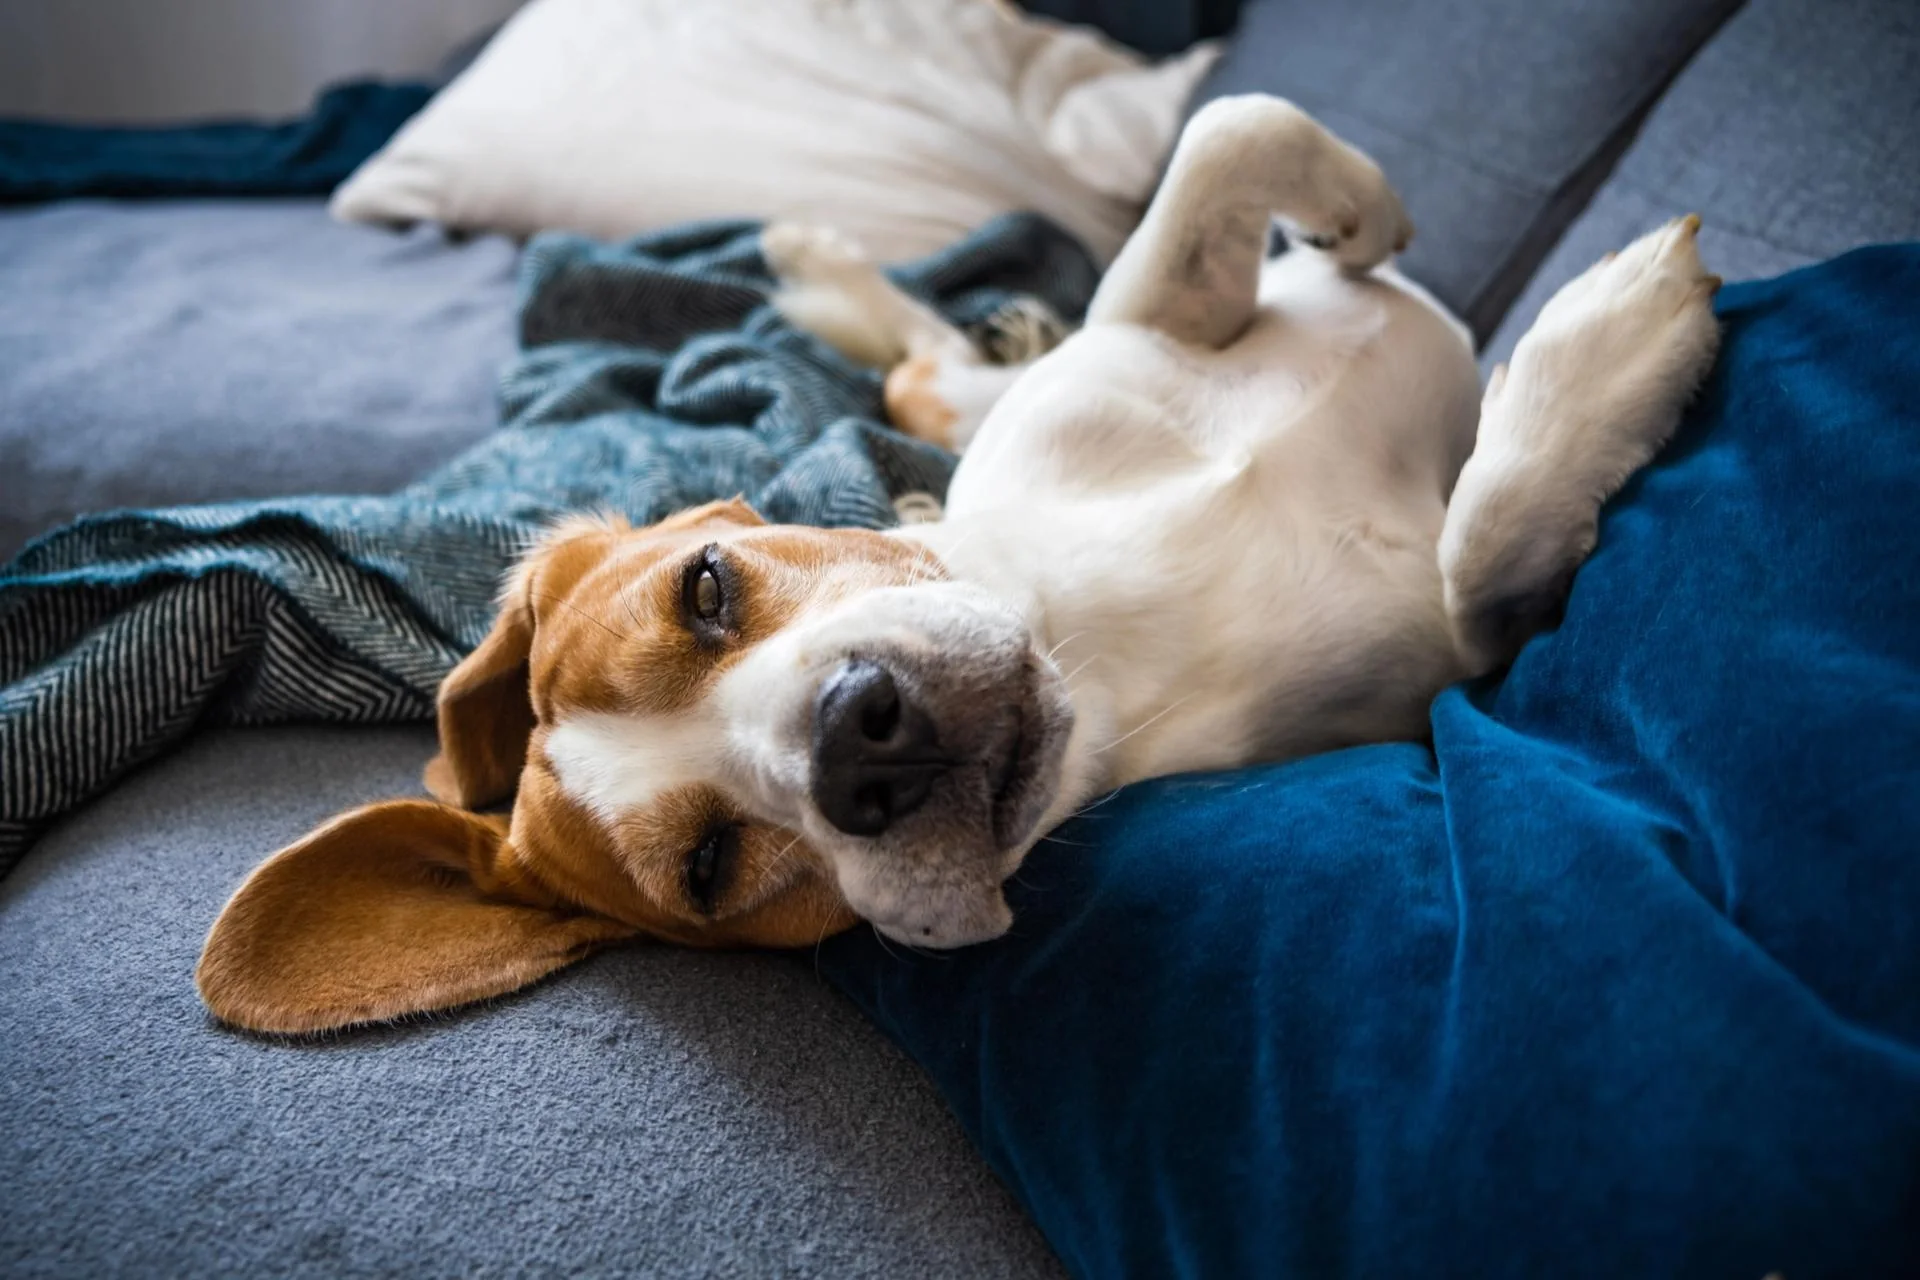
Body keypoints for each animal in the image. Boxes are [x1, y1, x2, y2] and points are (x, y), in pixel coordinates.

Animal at [198, 94, 1728, 1036]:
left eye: (708, 587)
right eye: (706, 867)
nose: (857, 743)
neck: (1102, 629)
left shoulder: (1153, 319)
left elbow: (1227, 135)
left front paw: (1361, 216)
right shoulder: (1458, 657)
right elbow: (1484, 545)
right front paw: (1616, 337)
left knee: (936, 373)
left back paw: (851, 277)